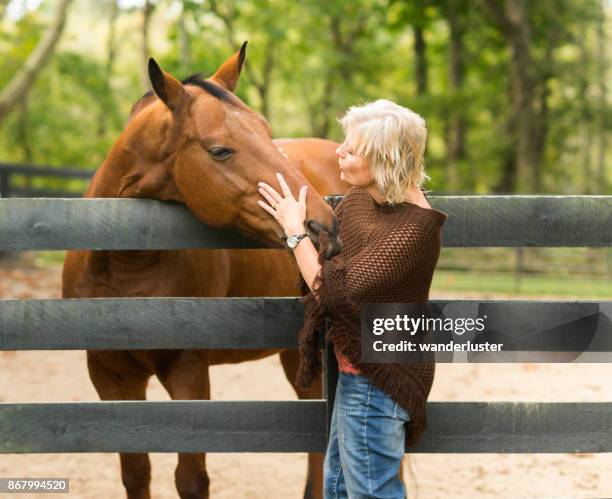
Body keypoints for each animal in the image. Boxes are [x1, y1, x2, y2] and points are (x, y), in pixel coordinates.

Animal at [63, 44, 350, 499]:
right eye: (220, 150)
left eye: (266, 133)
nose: (324, 227)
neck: (126, 266)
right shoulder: (111, 376)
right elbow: (136, 472)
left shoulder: (189, 372)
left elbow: (191, 478)